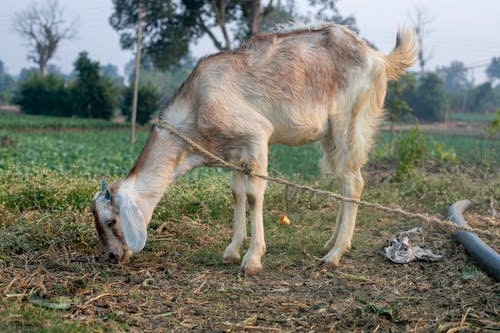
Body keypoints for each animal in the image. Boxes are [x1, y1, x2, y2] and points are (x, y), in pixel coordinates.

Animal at [92, 22, 416, 272]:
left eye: (111, 220)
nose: (114, 255)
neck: (196, 106)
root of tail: (378, 58)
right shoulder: (235, 152)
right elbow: (237, 193)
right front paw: (232, 249)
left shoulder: (257, 136)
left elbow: (253, 195)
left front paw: (252, 259)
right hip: (331, 135)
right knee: (343, 182)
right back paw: (332, 244)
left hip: (350, 121)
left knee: (354, 182)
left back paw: (334, 255)